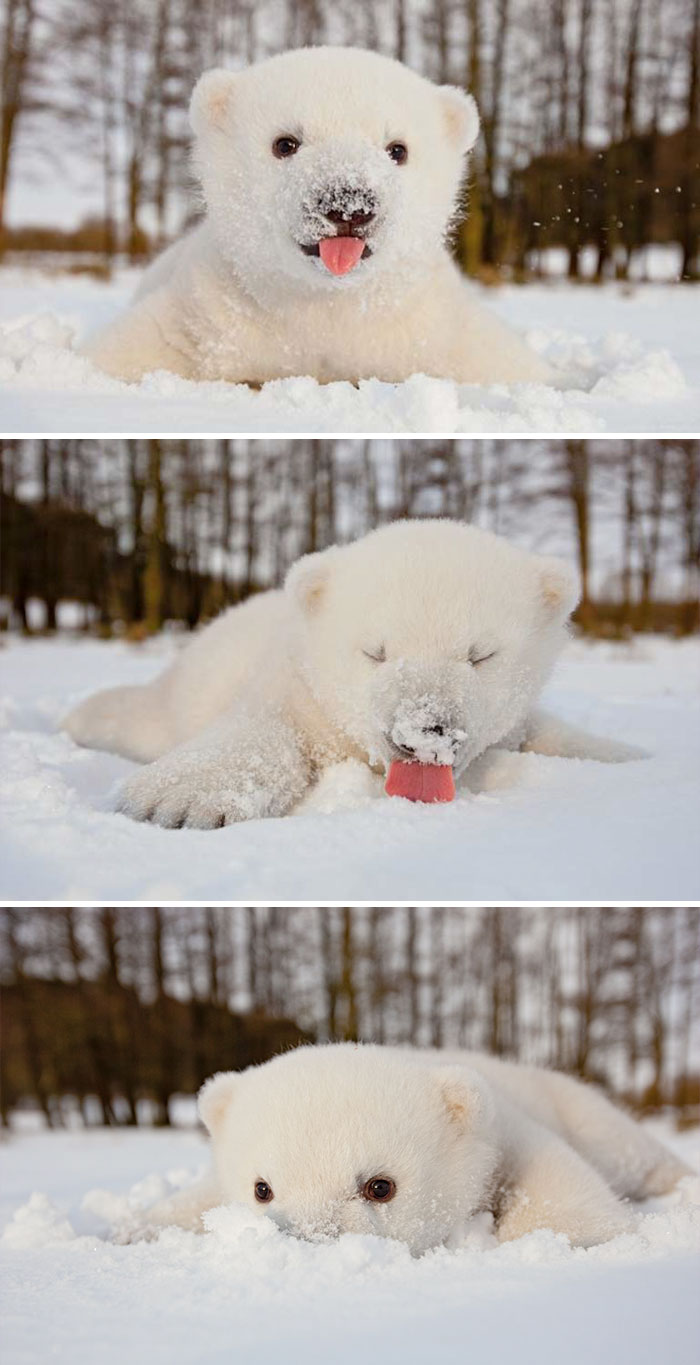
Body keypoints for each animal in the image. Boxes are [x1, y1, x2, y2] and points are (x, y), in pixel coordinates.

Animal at [63, 519, 643, 830]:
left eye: (480, 655)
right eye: (375, 652)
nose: (424, 731)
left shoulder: (516, 719)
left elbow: (549, 733)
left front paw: (631, 758)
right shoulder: (296, 687)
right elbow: (262, 728)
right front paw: (174, 800)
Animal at [82, 46, 550, 387]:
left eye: (397, 149)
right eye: (285, 143)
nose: (349, 204)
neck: (327, 306)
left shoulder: (430, 330)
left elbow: (499, 363)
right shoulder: (207, 316)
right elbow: (130, 351)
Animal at [125, 1044, 691, 1251]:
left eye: (380, 1186)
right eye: (262, 1189)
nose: (311, 1240)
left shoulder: (507, 1132)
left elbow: (556, 1189)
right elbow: (196, 1202)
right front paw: (134, 1230)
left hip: (577, 1107)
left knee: (627, 1149)